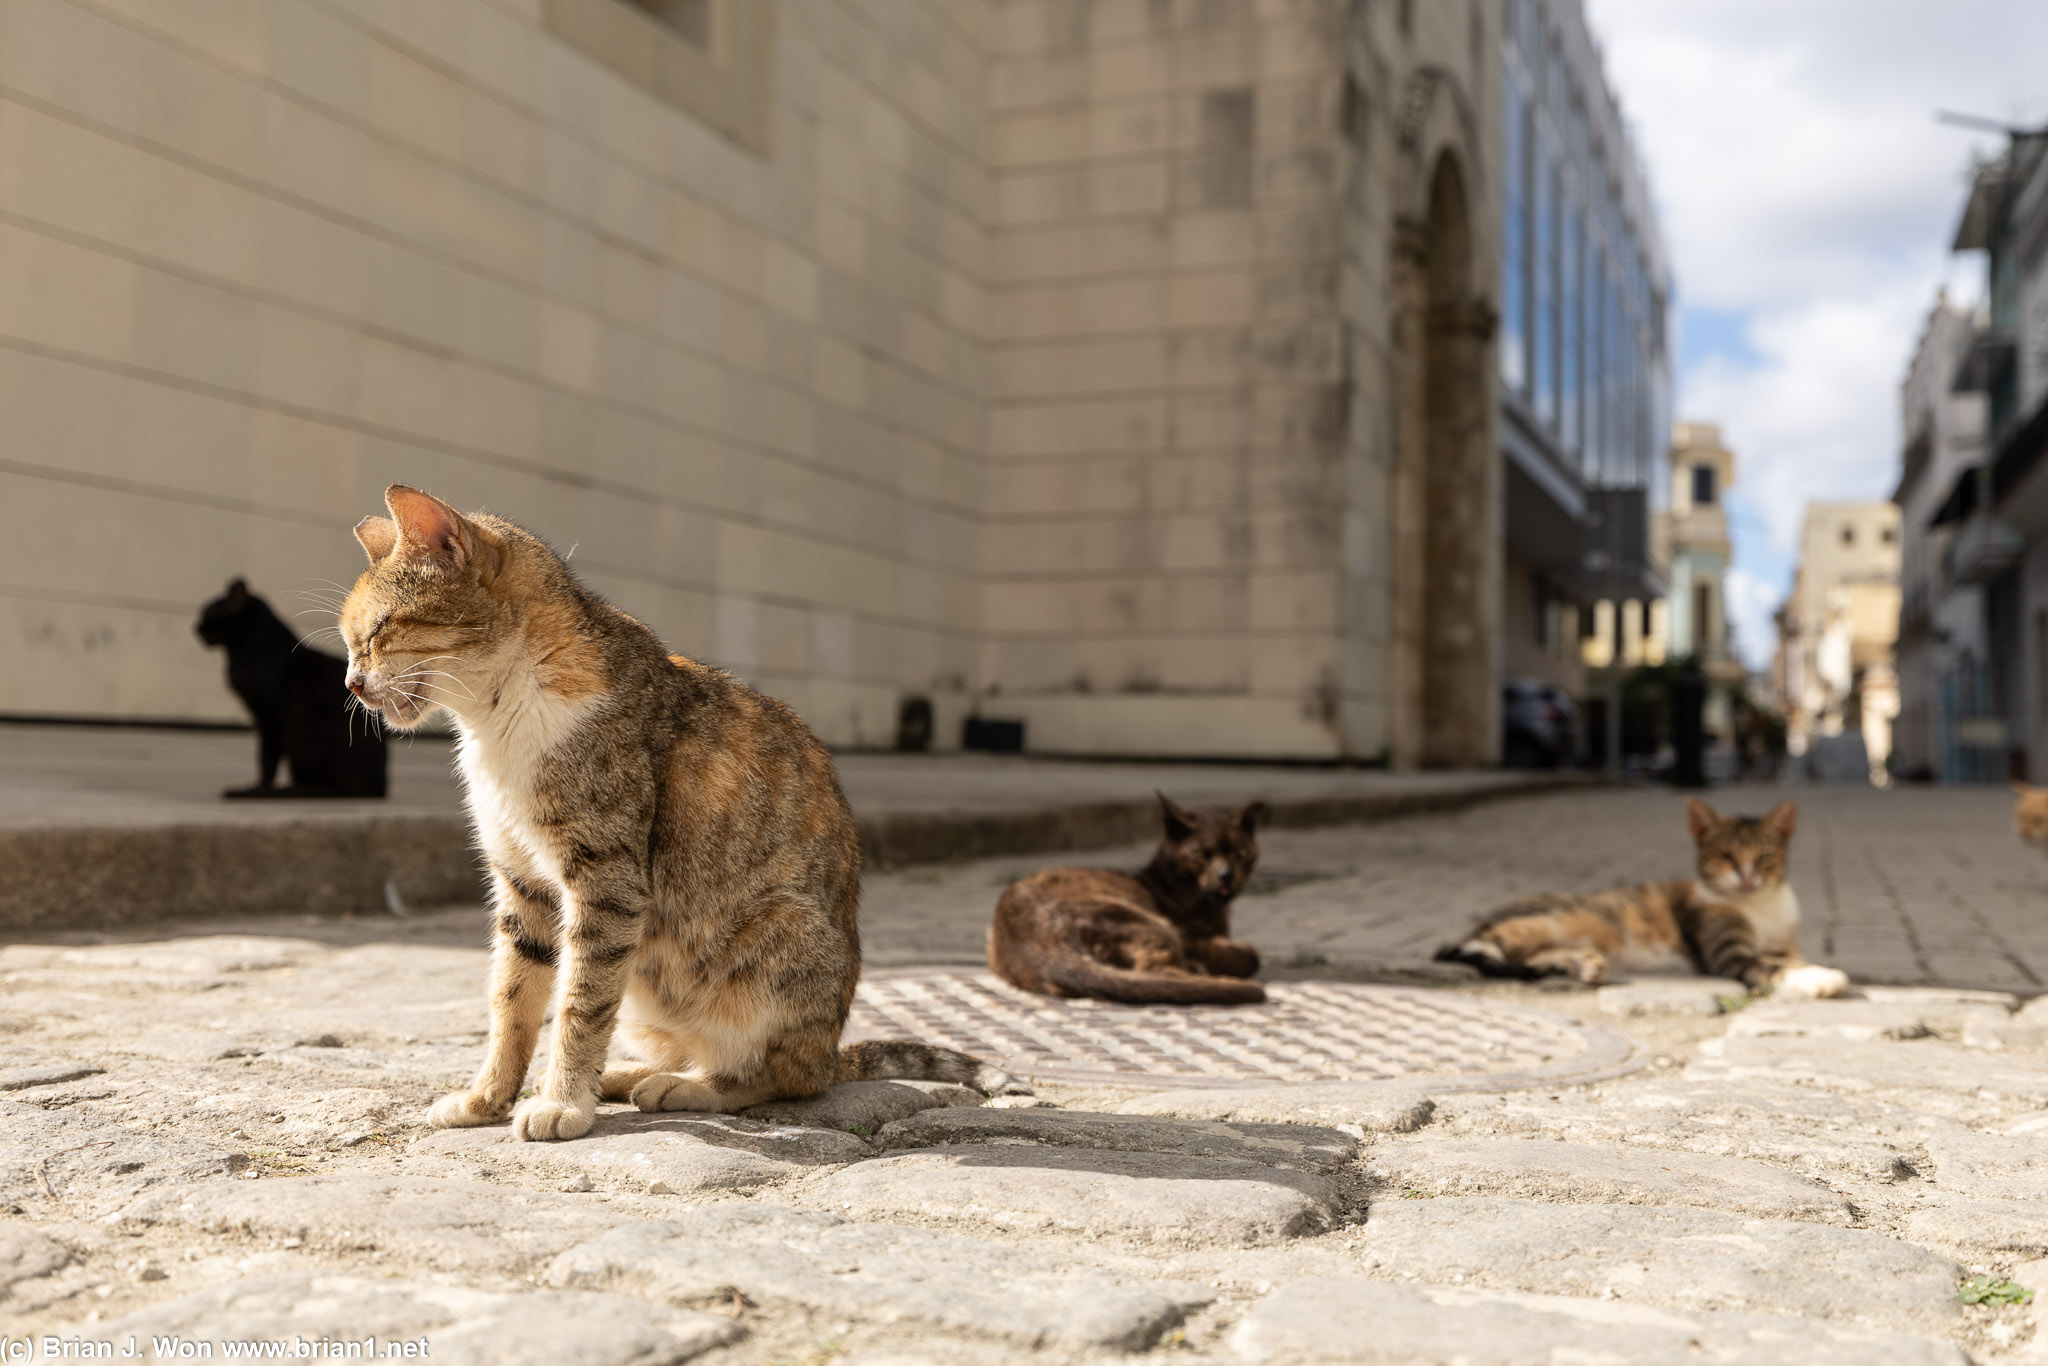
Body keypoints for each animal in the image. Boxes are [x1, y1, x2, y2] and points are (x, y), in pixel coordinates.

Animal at [339, 485, 1019, 1138]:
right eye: (349, 644)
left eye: (378, 631)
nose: (350, 683)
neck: (497, 720)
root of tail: (831, 1050)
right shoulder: (522, 881)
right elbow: (512, 999)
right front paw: (489, 1098)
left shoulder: (606, 881)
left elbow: (580, 1003)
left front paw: (561, 1104)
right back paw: (627, 1076)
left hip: (777, 936)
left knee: (781, 1076)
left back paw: (684, 1087)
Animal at [987, 794, 1261, 1011]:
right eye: (1203, 855)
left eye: (1242, 854)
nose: (1227, 875)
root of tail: (1038, 949)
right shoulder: (1190, 937)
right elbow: (1250, 955)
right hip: (1153, 924)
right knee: (1156, 973)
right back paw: (1206, 976)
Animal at [1433, 794, 1851, 999]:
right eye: (1726, 856)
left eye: (1765, 857)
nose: (1746, 876)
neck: (1759, 907)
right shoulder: (1728, 952)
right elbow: (1771, 965)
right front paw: (1819, 977)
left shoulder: (1785, 943)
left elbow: (1789, 958)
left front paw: (1813, 969)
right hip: (1543, 921)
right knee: (1490, 949)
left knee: (1529, 957)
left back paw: (1582, 963)